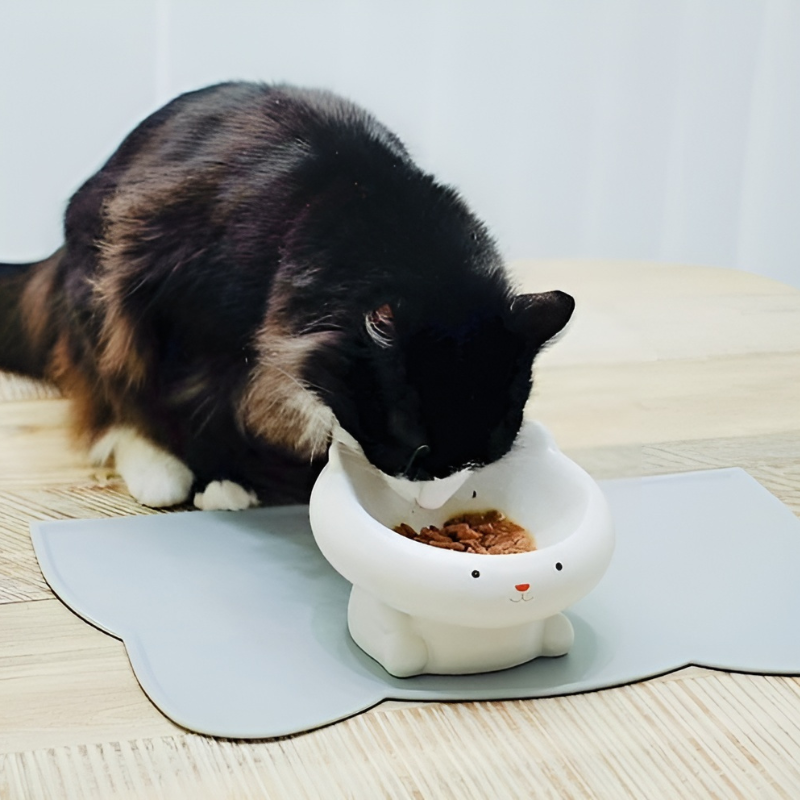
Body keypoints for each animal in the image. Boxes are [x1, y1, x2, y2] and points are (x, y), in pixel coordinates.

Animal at [0, 79, 576, 506]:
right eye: (416, 448)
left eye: (488, 453)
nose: (433, 502)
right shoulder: (186, 327)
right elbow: (190, 413)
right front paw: (222, 482)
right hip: (99, 298)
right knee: (113, 399)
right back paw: (162, 474)